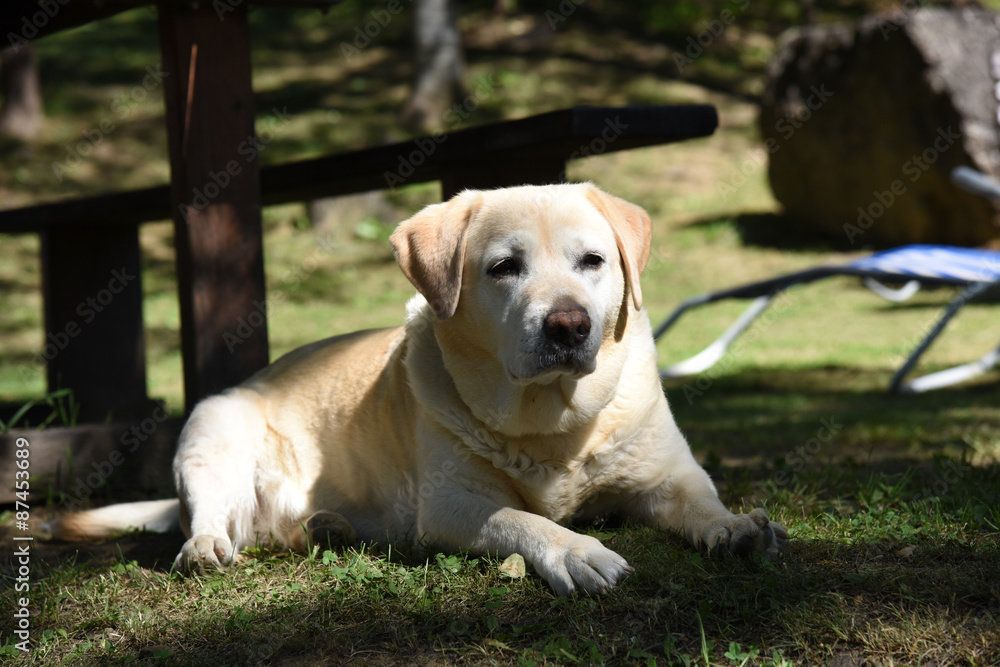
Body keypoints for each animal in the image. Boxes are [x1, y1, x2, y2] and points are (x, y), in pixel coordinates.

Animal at [48, 183, 788, 596]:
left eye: (593, 261)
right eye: (504, 267)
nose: (569, 324)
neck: (551, 425)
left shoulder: (668, 475)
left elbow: (702, 503)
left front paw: (737, 526)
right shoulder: (454, 505)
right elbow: (526, 520)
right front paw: (578, 551)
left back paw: (323, 525)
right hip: (210, 431)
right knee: (208, 519)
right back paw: (207, 547)